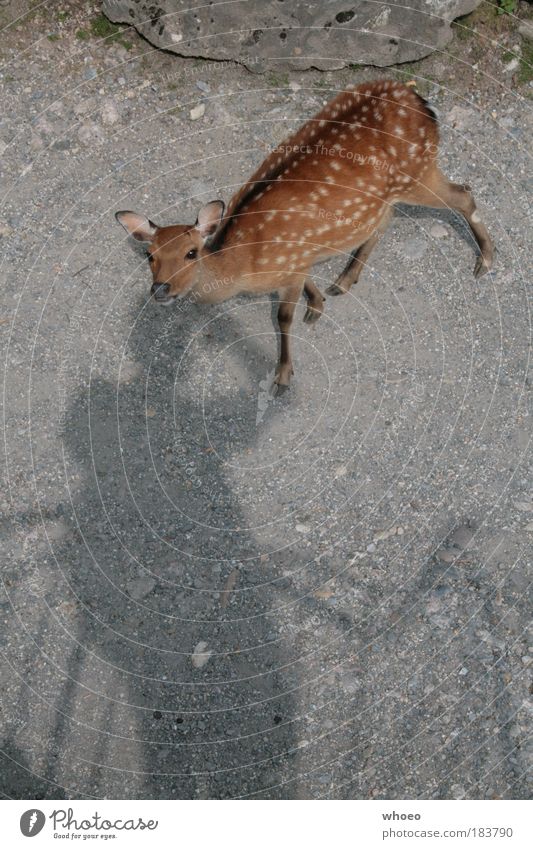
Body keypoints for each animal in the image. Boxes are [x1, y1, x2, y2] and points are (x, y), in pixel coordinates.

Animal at [114, 78, 492, 390]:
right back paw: (344, 280)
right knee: (386, 219)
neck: (245, 263)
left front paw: (283, 375)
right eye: (150, 255)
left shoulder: (290, 260)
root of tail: (421, 102)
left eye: (191, 252)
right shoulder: (302, 255)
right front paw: (318, 302)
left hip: (417, 172)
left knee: (464, 194)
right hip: (391, 191)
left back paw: (486, 259)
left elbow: (283, 318)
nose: (161, 289)